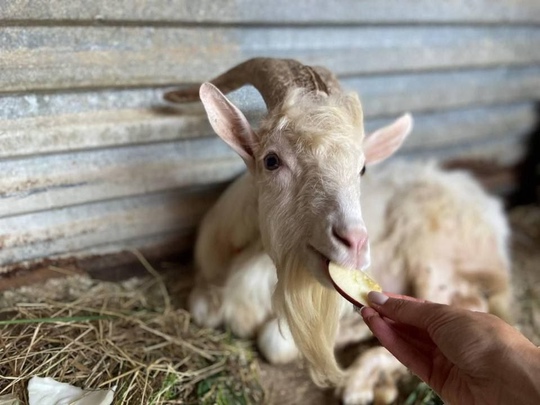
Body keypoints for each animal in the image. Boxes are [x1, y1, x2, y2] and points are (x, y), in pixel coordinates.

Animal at [165, 58, 510, 402]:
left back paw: (359, 384)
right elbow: (201, 309)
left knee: (461, 308)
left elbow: (273, 342)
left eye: (362, 168)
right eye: (271, 160)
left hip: (434, 254)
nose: (354, 242)